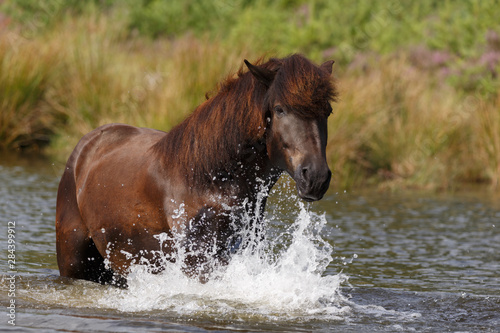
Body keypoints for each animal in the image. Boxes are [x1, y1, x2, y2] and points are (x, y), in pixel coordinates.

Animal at [54, 53, 338, 284]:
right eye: (279, 109)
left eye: (328, 111)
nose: (316, 177)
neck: (210, 180)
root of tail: (88, 143)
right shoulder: (197, 264)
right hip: (73, 260)